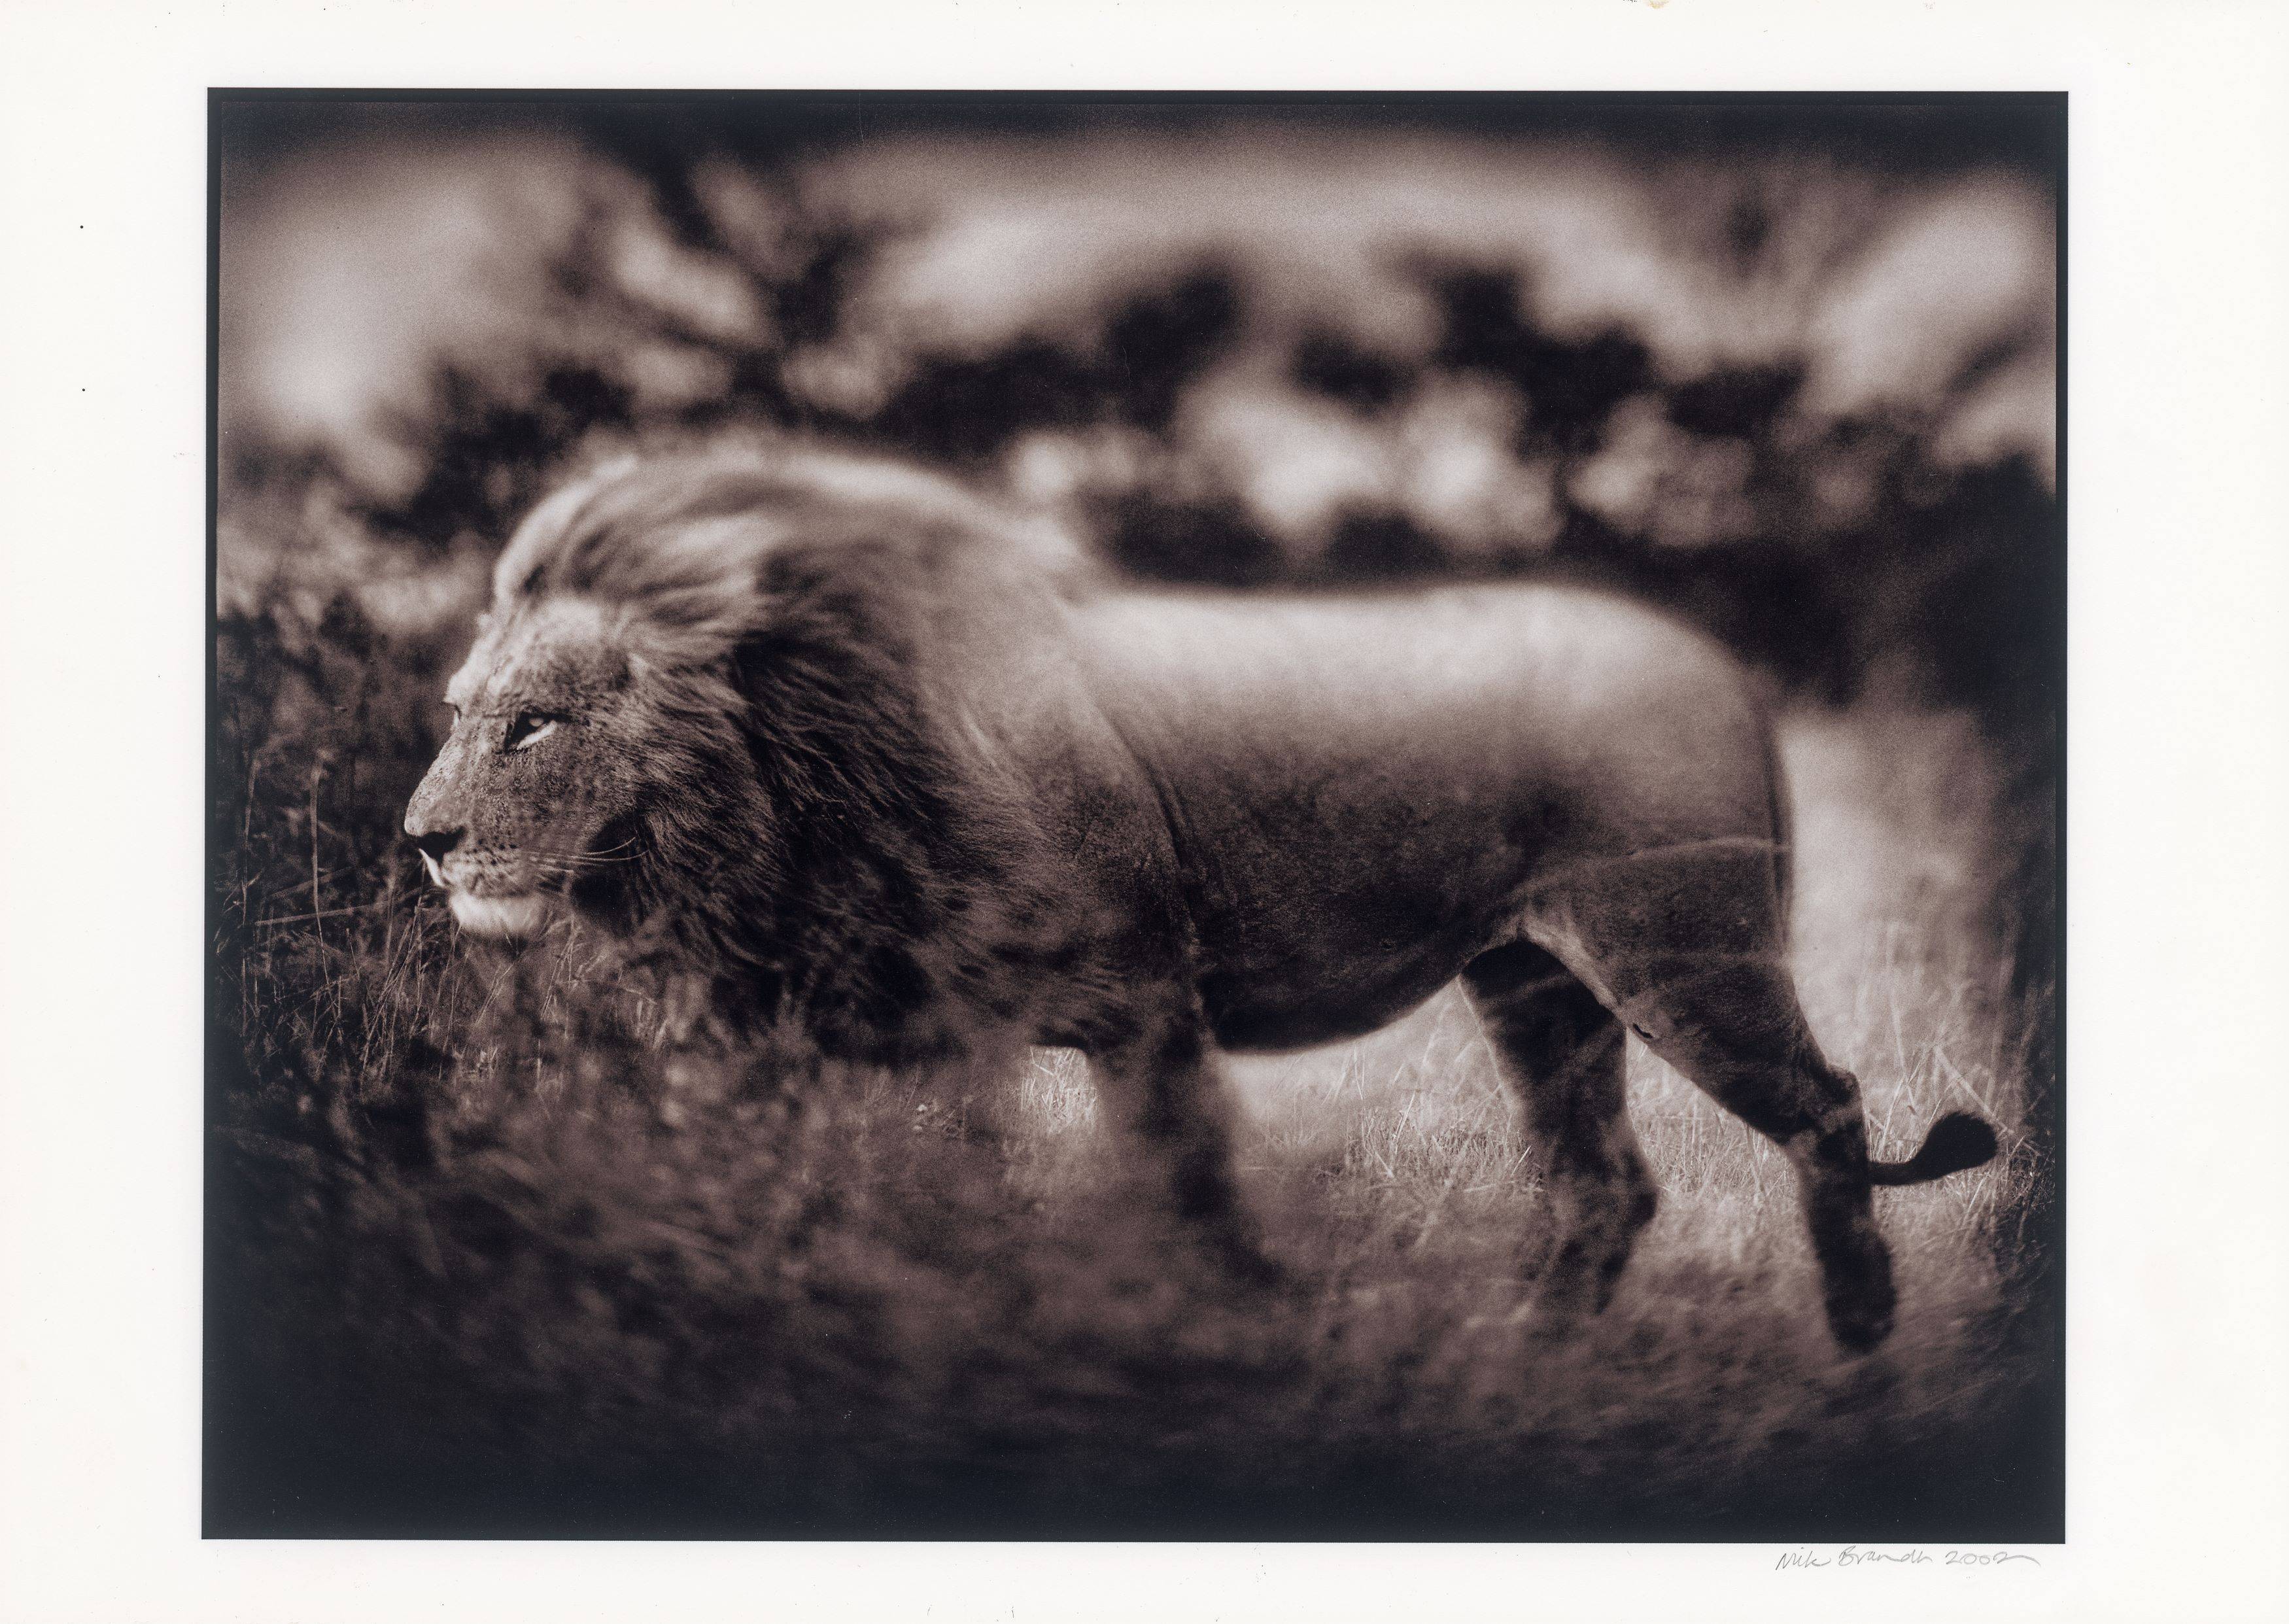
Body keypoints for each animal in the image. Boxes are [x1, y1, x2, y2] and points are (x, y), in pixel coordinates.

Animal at [404, 442, 1998, 1351]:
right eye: (461, 711)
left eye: (535, 725)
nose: (420, 836)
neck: (785, 774)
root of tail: (1719, 662)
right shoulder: (792, 1031)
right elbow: (807, 1195)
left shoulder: (1138, 997)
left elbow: (1182, 1194)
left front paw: (1224, 1339)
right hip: (1535, 983)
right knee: (1604, 1180)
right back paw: (1519, 1353)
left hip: (1682, 952)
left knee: (1825, 1106)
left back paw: (1861, 1347)